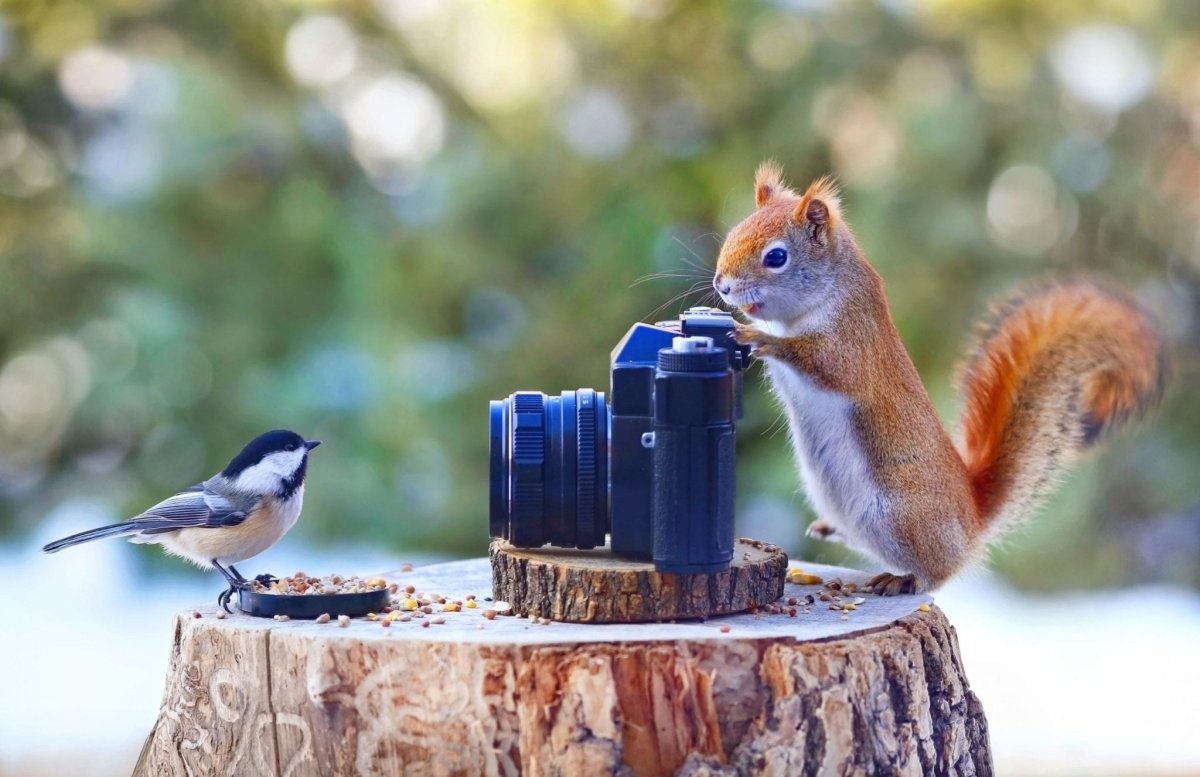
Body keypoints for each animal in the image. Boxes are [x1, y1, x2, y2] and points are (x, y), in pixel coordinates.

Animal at [713, 162, 1168, 595]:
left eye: (776, 257)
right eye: (734, 232)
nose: (722, 285)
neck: (821, 298)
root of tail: (972, 521)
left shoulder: (853, 344)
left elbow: (827, 364)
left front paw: (758, 337)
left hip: (902, 516)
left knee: (939, 571)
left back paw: (904, 580)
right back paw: (831, 528)